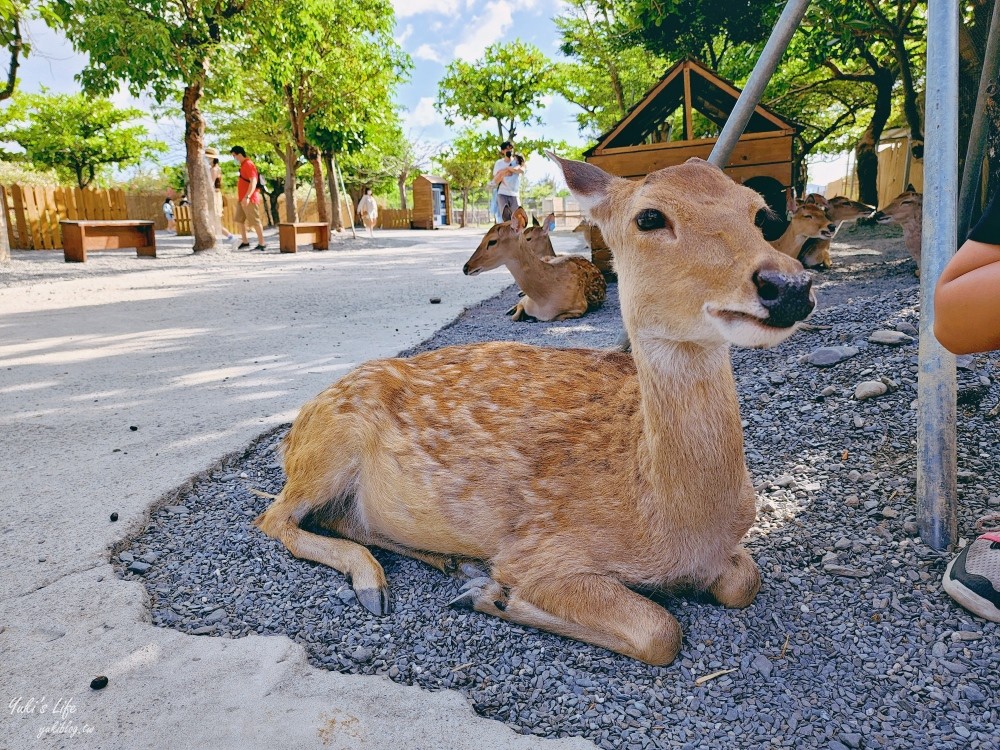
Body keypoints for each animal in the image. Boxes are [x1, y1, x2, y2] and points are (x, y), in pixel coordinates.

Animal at [464, 207, 604, 322]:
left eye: (492, 241)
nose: (466, 267)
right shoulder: (526, 302)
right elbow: (516, 315)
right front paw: (514, 311)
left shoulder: (580, 307)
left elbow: (555, 318)